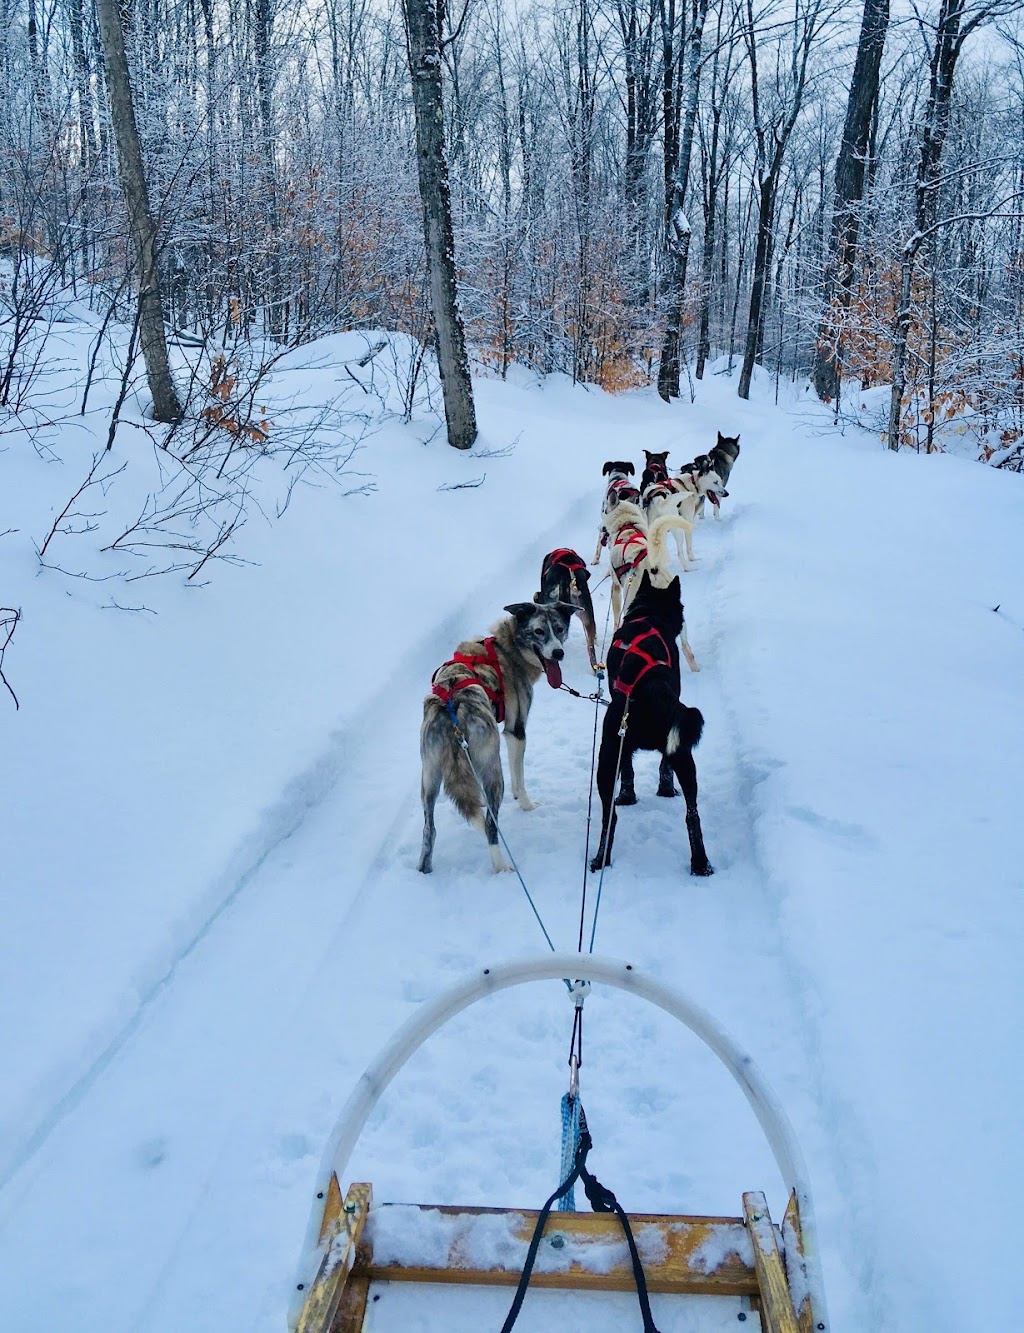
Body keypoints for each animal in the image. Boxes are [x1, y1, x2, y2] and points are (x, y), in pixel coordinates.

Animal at [418, 602, 576, 874]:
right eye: (538, 631)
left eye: (559, 628)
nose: (558, 653)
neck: (507, 647)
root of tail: (453, 708)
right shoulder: (516, 732)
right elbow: (519, 778)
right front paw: (526, 804)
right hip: (493, 771)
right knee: (490, 824)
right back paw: (501, 866)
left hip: (429, 778)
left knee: (430, 830)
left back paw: (423, 870)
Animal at [584, 570, 714, 874]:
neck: (647, 615)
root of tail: (647, 692)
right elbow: (661, 767)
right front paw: (663, 789)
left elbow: (631, 771)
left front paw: (630, 795)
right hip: (682, 756)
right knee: (691, 815)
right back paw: (701, 864)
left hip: (609, 758)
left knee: (610, 817)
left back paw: (600, 859)